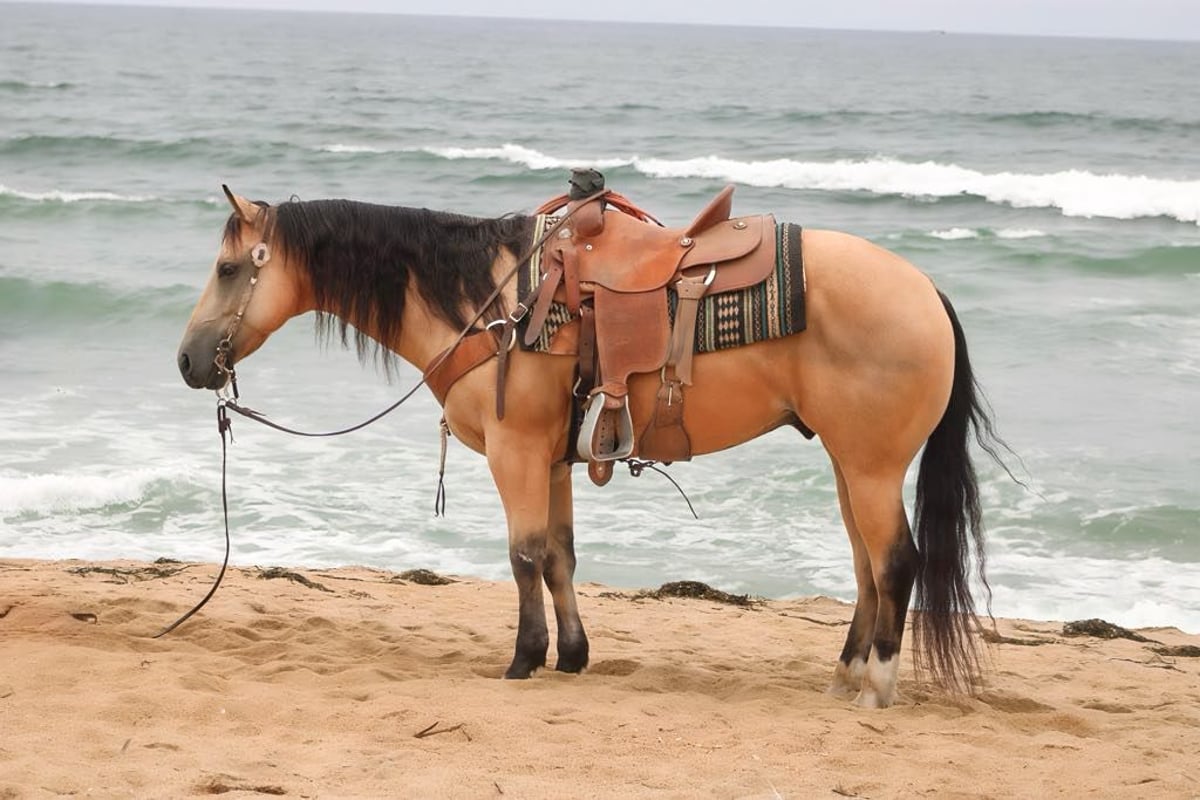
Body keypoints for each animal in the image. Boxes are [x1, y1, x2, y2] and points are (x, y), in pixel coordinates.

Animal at [177, 185, 1001, 708]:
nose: (186, 362)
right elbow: (561, 556)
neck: (495, 303)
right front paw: (572, 656)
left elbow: (523, 554)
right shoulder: (552, 460)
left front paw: (524, 657)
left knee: (894, 564)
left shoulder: (514, 453)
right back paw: (844, 676)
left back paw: (878, 687)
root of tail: (926, 291)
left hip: (870, 467)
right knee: (865, 567)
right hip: (848, 465)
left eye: (227, 268)